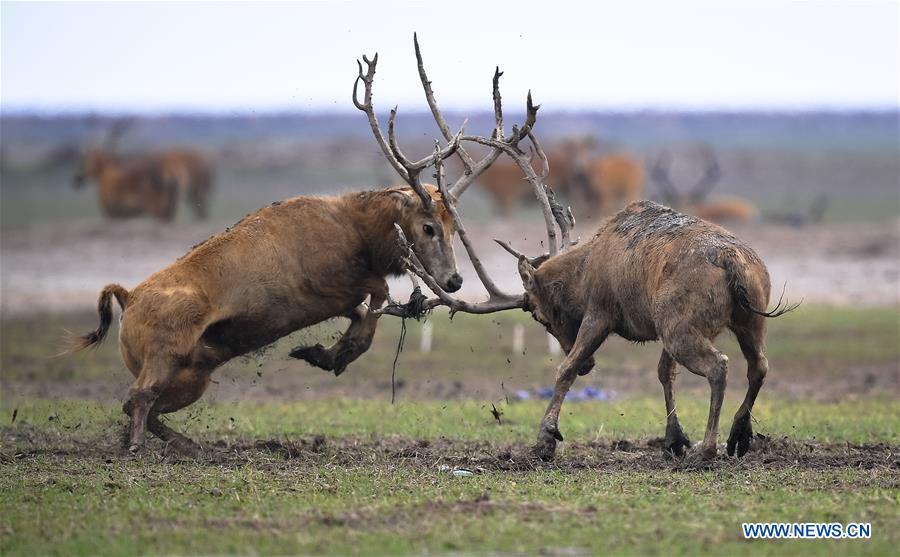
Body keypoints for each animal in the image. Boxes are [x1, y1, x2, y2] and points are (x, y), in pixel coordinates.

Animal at [70, 32, 544, 454]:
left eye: (454, 225)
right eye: (428, 226)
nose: (455, 280)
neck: (359, 236)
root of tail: (126, 298)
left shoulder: (339, 293)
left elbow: (366, 309)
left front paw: (324, 352)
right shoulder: (322, 284)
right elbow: (376, 295)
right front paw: (333, 352)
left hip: (195, 372)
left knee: (145, 406)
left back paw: (191, 446)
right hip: (165, 354)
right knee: (137, 398)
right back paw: (136, 446)